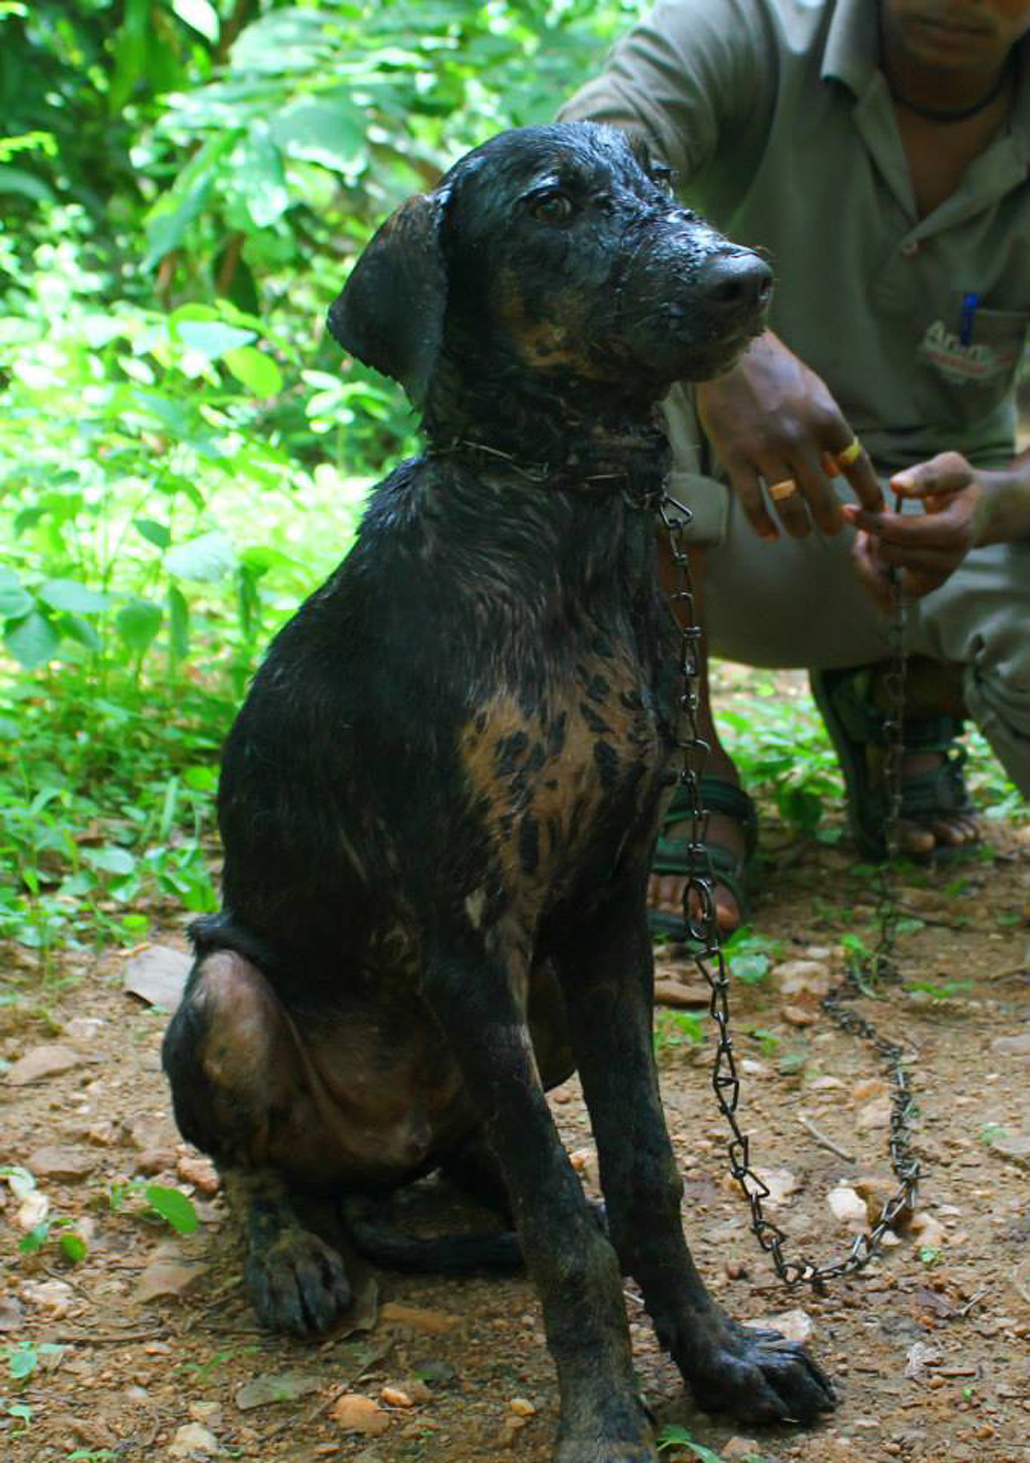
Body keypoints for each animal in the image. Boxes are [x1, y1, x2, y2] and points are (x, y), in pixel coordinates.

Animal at [163, 122, 836, 1451]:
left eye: (660, 183)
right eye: (550, 205)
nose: (745, 279)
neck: (556, 518)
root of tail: (379, 1156)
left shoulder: (608, 913)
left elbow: (641, 1172)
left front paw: (722, 1356)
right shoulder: (464, 936)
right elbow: (568, 1240)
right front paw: (609, 1419)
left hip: (540, 1010)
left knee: (500, 1153)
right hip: (227, 992)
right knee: (261, 1166)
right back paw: (292, 1253)